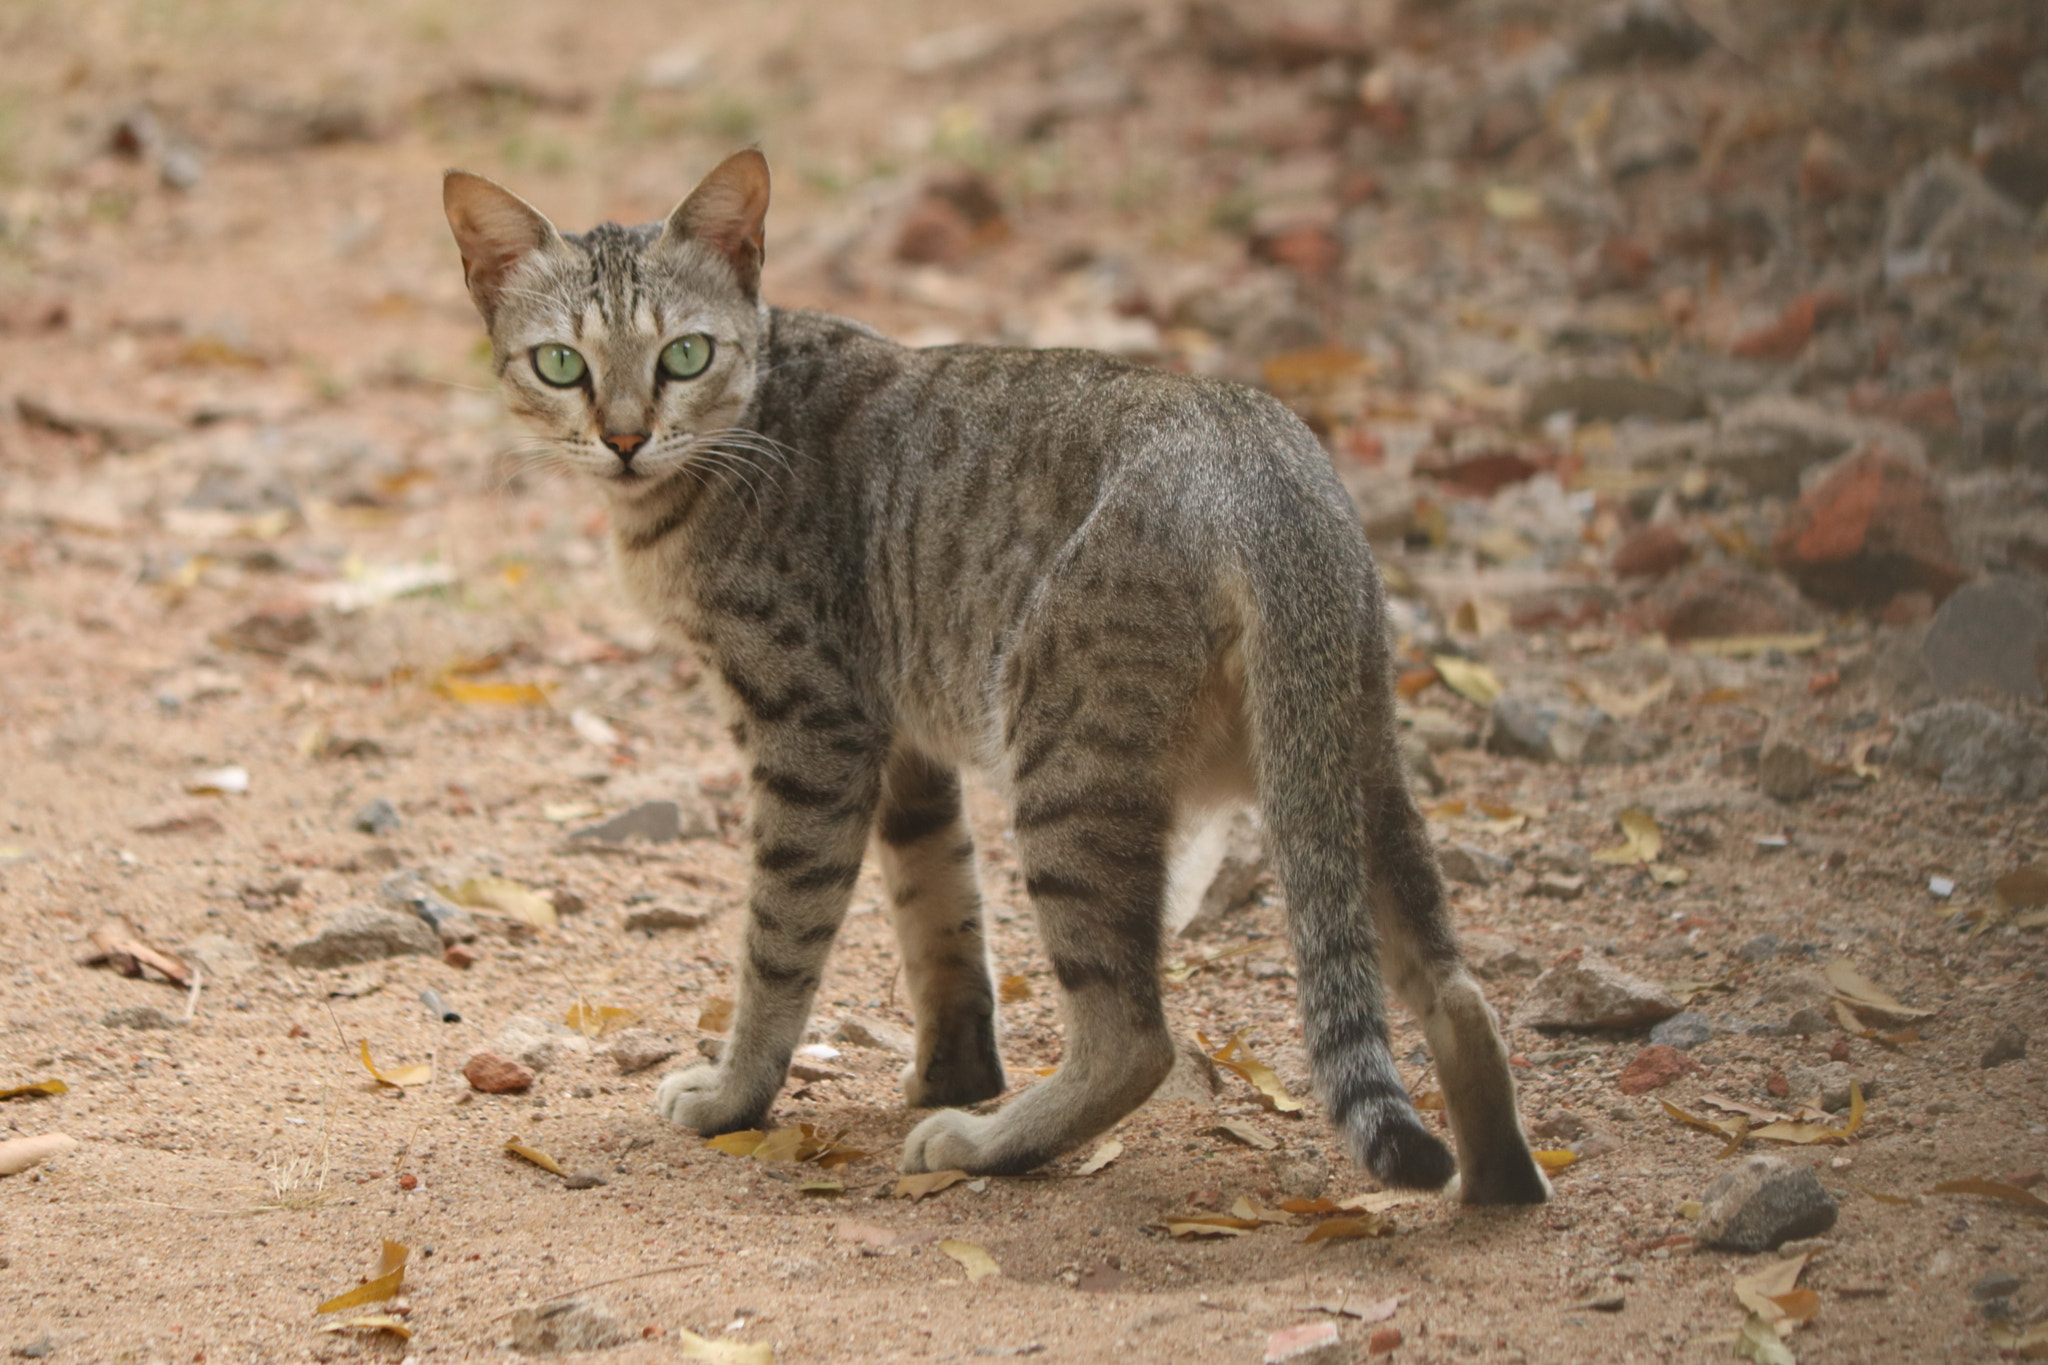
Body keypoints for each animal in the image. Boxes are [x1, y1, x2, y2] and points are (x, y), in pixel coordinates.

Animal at [440, 147, 1540, 1195]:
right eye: (560, 364)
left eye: (685, 354)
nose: (624, 438)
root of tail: (1254, 455)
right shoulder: (905, 749)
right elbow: (941, 919)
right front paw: (953, 1071)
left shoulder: (813, 732)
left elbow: (778, 941)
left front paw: (735, 1094)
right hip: (1342, 767)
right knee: (1455, 988)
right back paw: (1498, 1184)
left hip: (1065, 766)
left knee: (1134, 1039)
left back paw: (989, 1144)